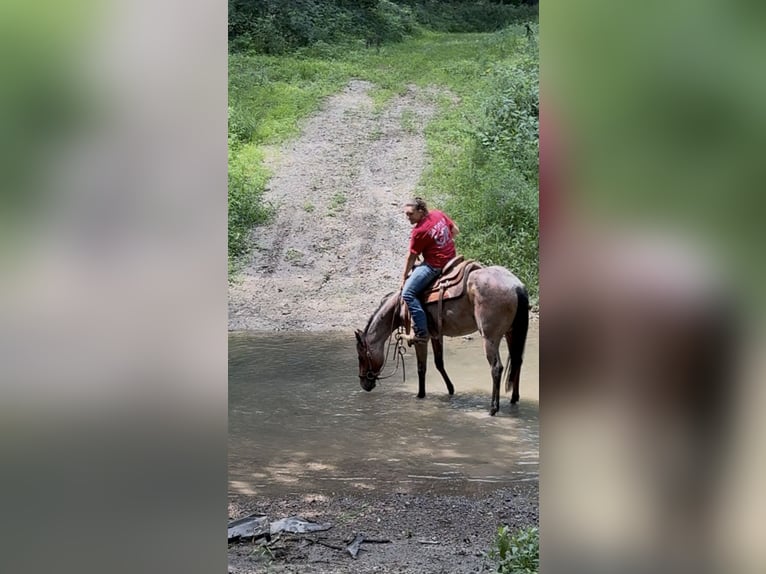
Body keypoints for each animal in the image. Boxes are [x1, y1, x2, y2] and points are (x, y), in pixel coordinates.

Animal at [355, 265, 529, 415]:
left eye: (361, 356)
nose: (364, 383)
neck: (400, 307)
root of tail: (516, 286)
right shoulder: (435, 335)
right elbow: (439, 363)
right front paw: (451, 390)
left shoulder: (420, 339)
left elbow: (421, 368)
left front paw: (420, 396)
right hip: (511, 333)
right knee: (517, 361)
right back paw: (514, 399)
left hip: (490, 338)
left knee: (496, 368)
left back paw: (493, 408)